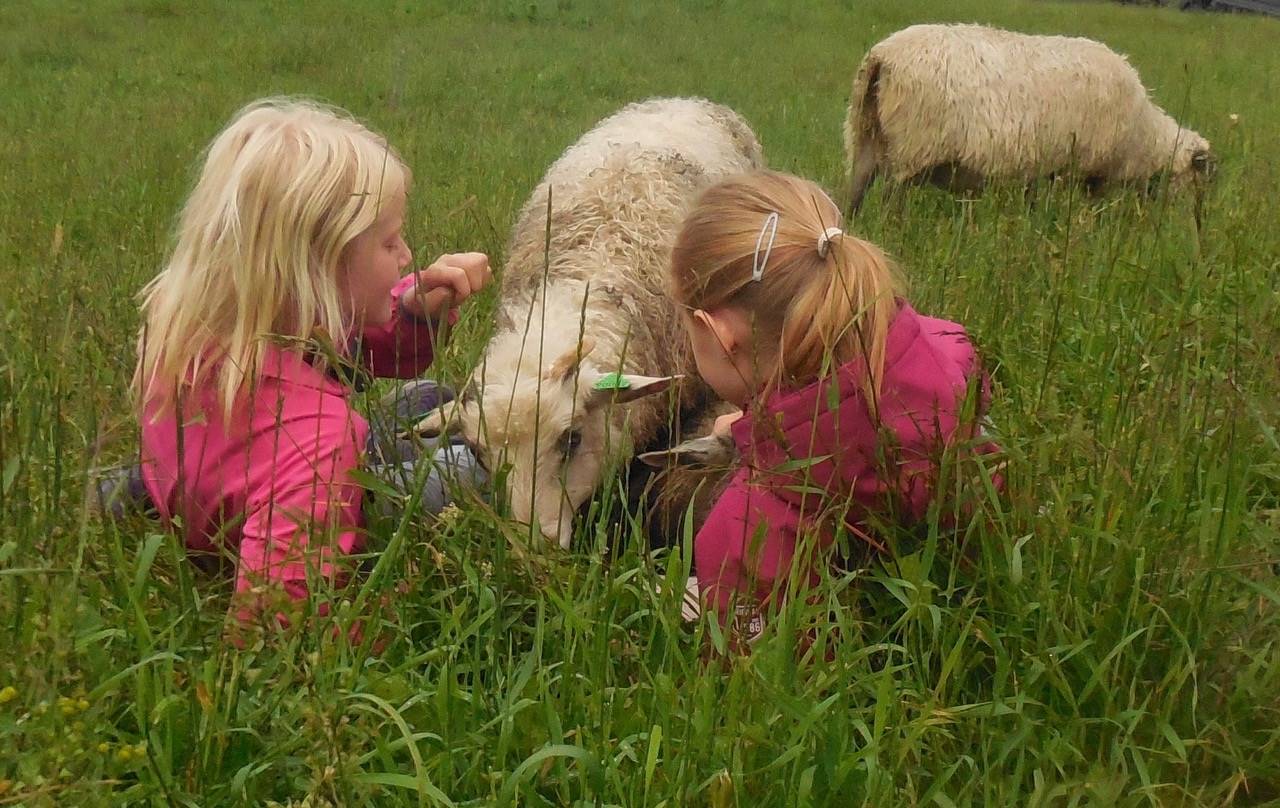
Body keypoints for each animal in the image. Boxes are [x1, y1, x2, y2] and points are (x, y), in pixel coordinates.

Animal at [844, 24, 1213, 215]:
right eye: (1202, 177)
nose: (1197, 222)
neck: (1146, 135)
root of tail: (883, 56)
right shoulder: (1079, 170)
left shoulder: (1044, 171)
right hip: (913, 147)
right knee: (891, 202)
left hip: (865, 137)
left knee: (854, 195)